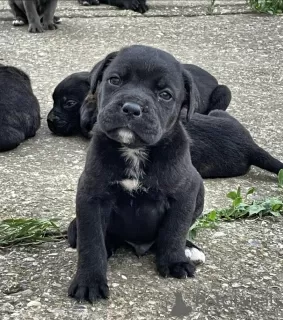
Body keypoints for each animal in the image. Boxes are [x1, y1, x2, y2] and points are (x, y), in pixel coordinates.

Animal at [68, 45, 206, 302]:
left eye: (165, 95)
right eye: (115, 80)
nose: (132, 108)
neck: (135, 150)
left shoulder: (185, 193)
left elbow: (175, 229)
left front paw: (174, 260)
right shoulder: (92, 196)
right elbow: (91, 242)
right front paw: (89, 281)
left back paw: (189, 249)